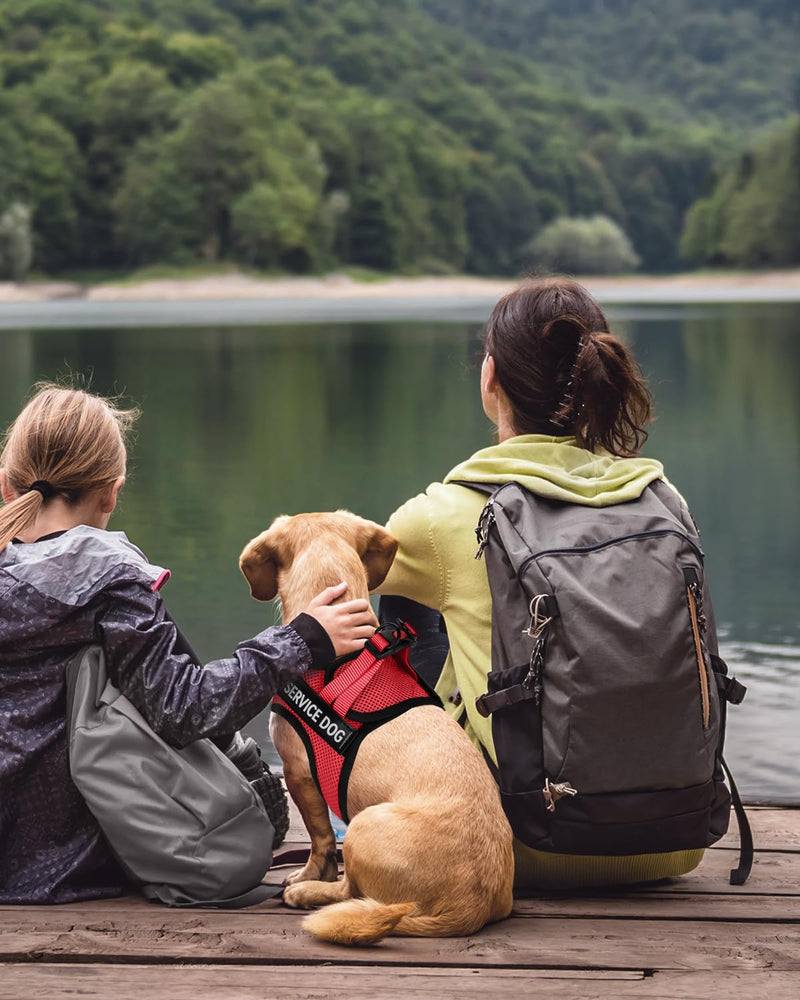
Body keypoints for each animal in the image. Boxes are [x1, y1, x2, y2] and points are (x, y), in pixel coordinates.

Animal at [239, 516, 512, 944]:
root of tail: (470, 906)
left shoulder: (299, 774)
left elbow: (319, 840)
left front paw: (307, 875)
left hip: (362, 826)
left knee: (350, 890)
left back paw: (306, 893)